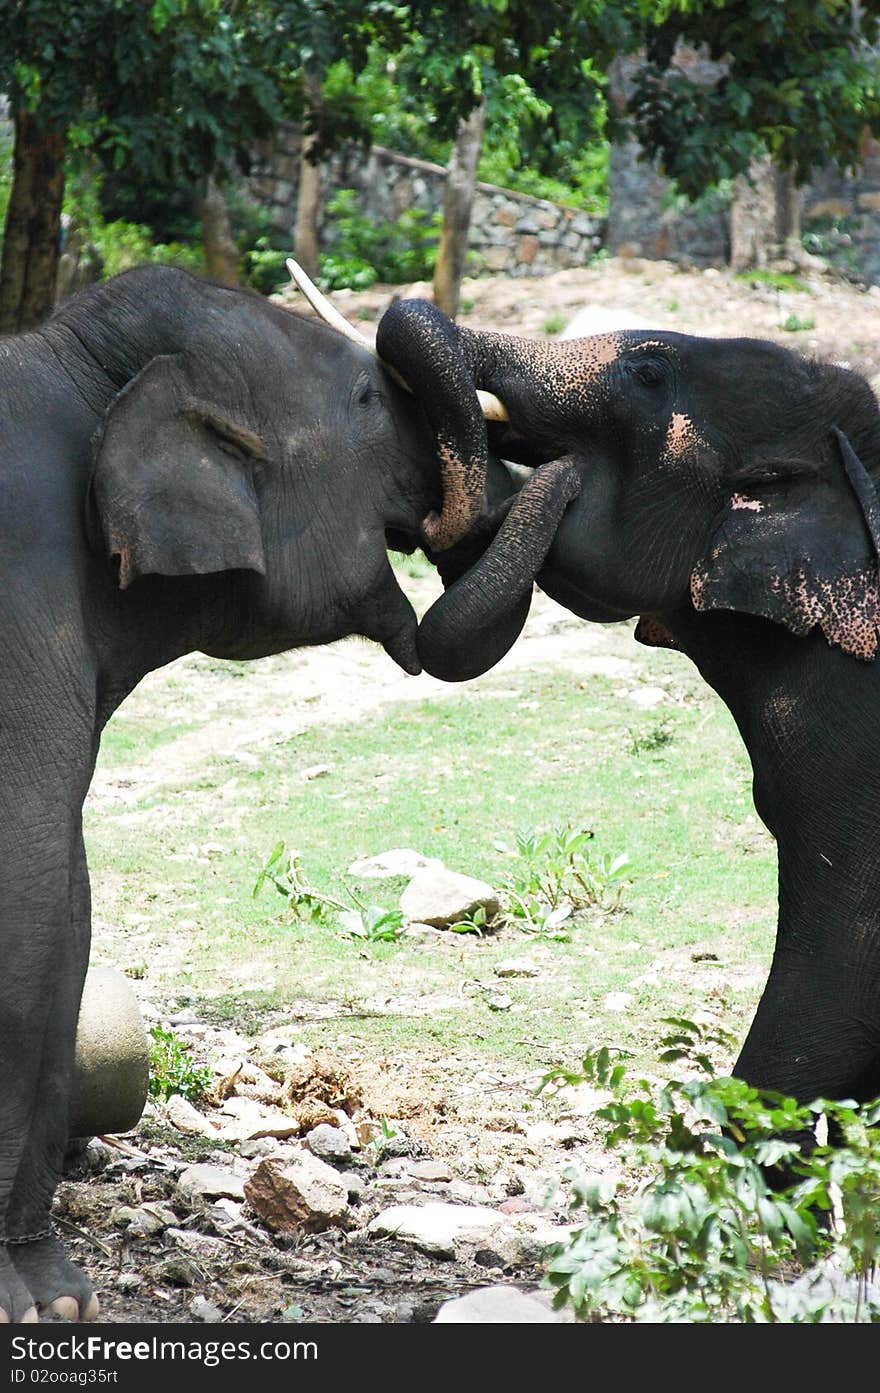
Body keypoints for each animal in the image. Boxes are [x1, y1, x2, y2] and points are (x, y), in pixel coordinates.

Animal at [0, 263, 467, 1326]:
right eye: (367, 398)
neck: (69, 364)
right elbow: (32, 887)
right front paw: (28, 1304)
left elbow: (67, 906)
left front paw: (58, 1302)